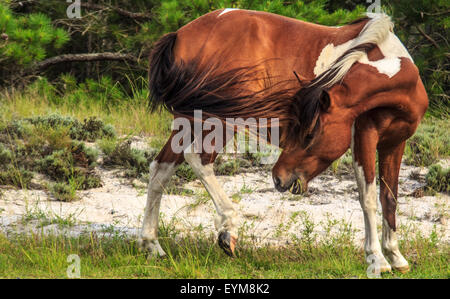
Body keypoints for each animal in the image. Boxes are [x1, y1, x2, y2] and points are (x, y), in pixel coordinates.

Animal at [142, 8, 428, 274]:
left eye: (309, 133)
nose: (278, 178)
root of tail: (181, 34)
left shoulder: (394, 143)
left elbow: (389, 198)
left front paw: (396, 256)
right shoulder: (364, 137)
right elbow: (367, 197)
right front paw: (377, 259)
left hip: (188, 122)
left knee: (160, 170)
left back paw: (152, 245)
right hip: (219, 121)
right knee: (198, 160)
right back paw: (228, 229)